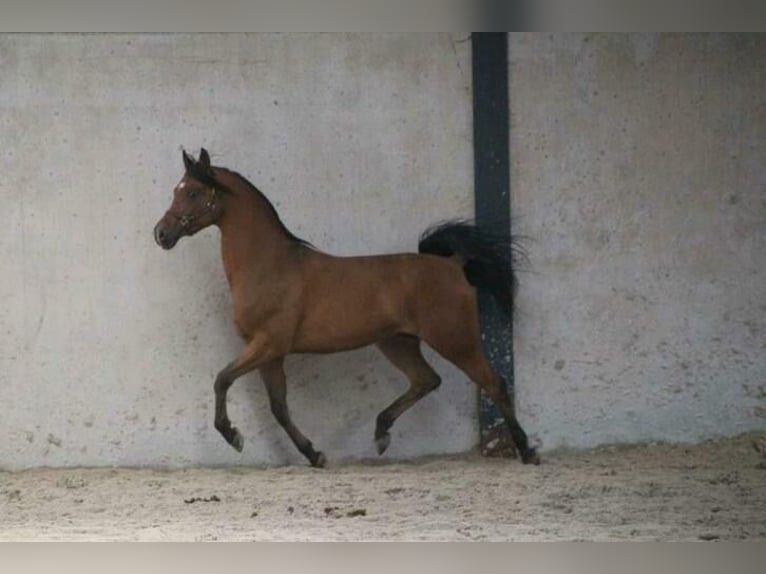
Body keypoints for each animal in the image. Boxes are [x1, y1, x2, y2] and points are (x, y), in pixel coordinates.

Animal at [154, 148, 540, 468]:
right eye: (176, 190)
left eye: (192, 192)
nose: (161, 234)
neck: (270, 265)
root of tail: (454, 265)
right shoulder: (270, 353)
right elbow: (278, 407)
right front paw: (314, 455)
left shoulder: (268, 344)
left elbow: (222, 379)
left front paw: (233, 435)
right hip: (397, 342)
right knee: (426, 380)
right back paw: (381, 433)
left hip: (454, 340)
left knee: (493, 383)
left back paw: (526, 451)